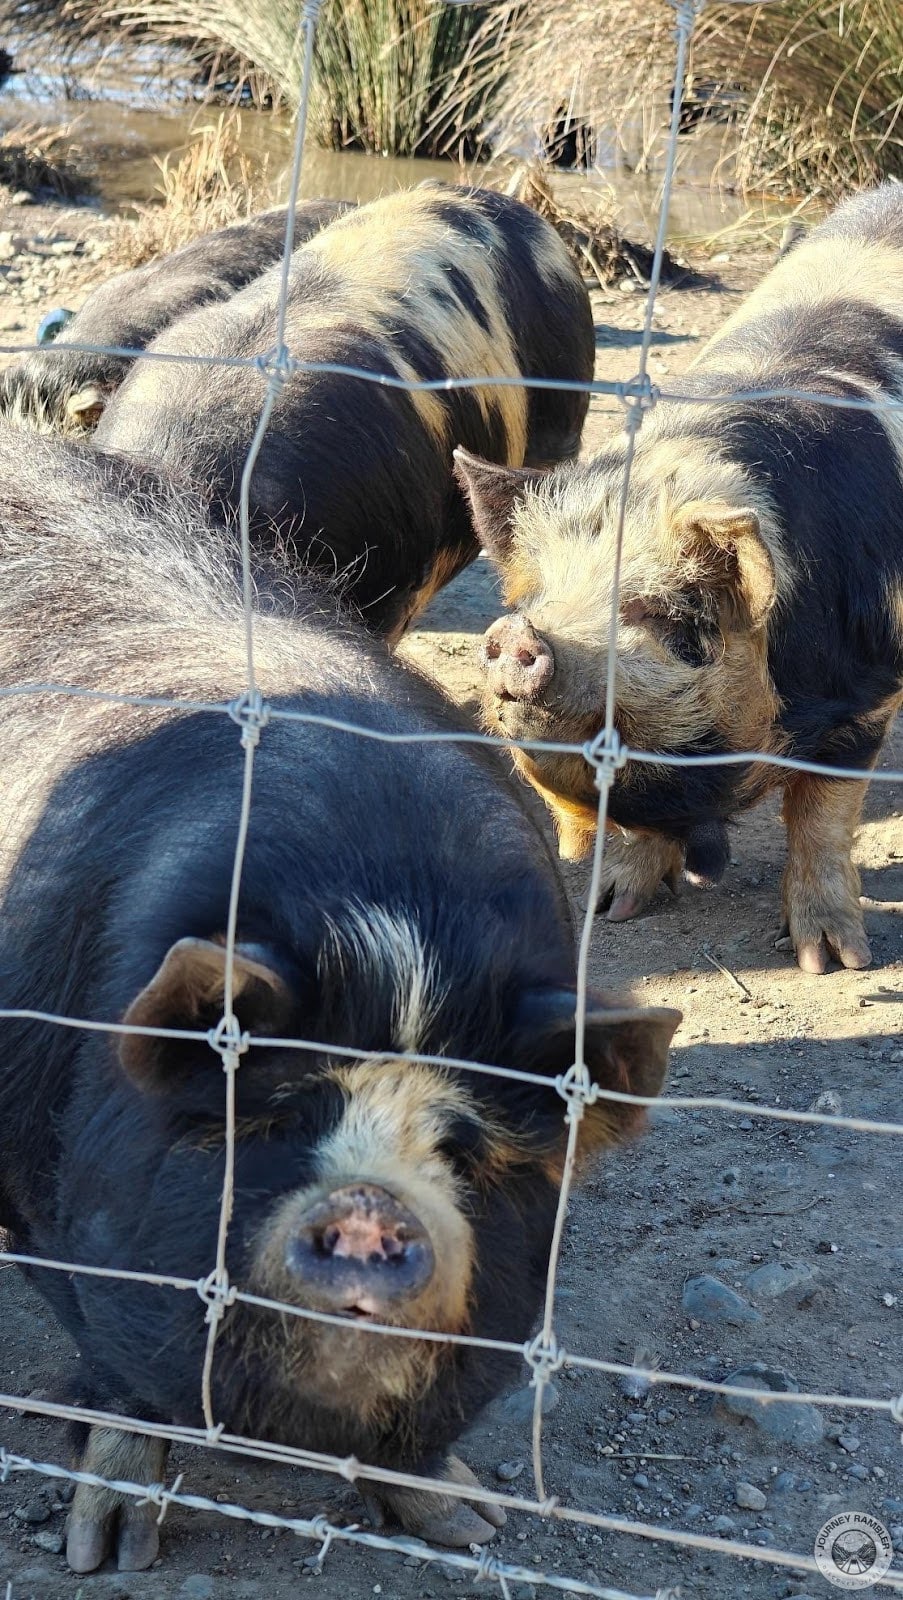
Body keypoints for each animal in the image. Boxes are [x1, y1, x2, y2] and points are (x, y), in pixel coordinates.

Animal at [0, 422, 678, 1572]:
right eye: (279, 1113)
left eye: (464, 1150)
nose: (370, 1209)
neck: (394, 923)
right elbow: (126, 1384)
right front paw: (108, 1550)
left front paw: (472, 1524)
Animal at [456, 181, 903, 974]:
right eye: (534, 594)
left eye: (661, 612)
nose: (517, 632)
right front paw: (613, 909)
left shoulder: (868, 684)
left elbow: (822, 815)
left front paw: (830, 960)